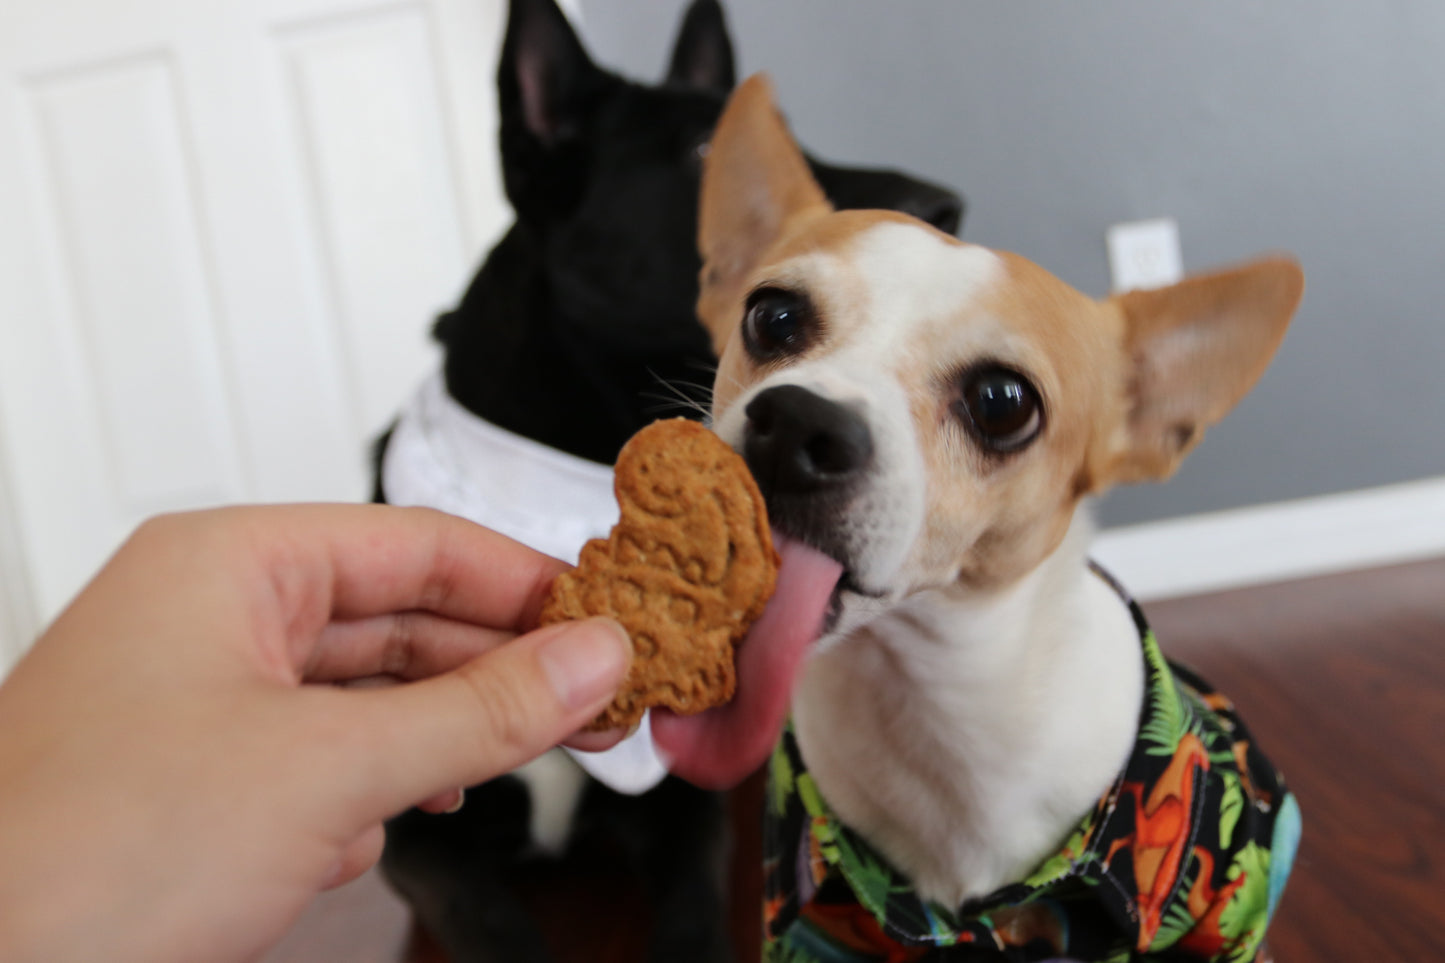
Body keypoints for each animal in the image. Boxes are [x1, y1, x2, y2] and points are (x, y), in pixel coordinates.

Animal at [372, 3, 965, 954]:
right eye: (705, 153)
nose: (945, 211)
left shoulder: (685, 802)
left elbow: (691, 910)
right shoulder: (419, 832)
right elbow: (485, 918)